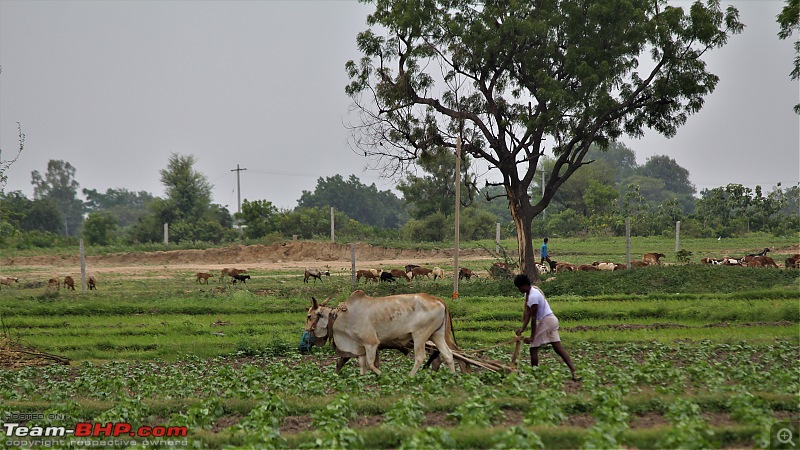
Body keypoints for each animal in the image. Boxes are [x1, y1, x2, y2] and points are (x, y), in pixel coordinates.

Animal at [304, 292, 456, 376]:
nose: (306, 333)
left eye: (309, 316)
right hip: (436, 335)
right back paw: (453, 376)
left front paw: (382, 375)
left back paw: (410, 376)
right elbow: (362, 364)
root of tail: (436, 299)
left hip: (419, 335)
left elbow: (371, 364)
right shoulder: (360, 346)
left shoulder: (371, 343)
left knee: (420, 357)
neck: (343, 316)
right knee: (448, 355)